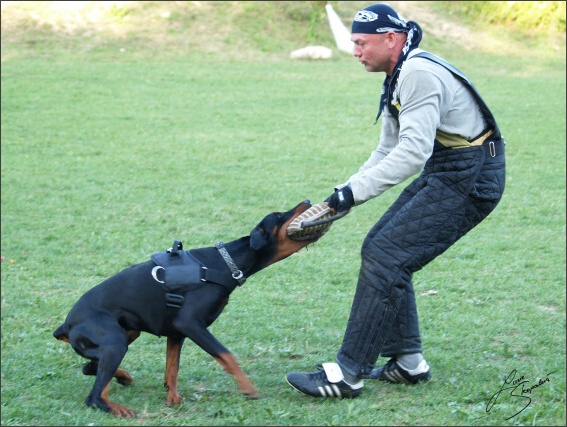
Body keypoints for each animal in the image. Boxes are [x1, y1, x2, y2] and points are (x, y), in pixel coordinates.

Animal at [55, 201, 326, 418]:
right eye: (280, 215)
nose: (307, 200)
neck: (225, 264)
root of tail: (66, 325)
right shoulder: (189, 323)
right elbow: (226, 355)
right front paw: (248, 388)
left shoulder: (176, 332)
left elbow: (172, 368)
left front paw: (172, 398)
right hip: (116, 342)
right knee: (94, 396)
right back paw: (117, 407)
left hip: (127, 333)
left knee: (90, 367)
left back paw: (123, 377)